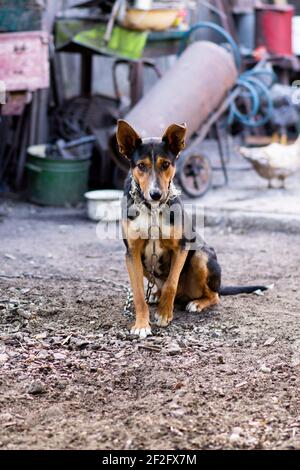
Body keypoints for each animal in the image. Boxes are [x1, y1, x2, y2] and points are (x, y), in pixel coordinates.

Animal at [116, 117, 270, 338]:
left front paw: (164, 314)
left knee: (213, 295)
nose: (156, 194)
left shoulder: (181, 246)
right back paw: (155, 294)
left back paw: (196, 303)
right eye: (141, 166)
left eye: (165, 164)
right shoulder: (132, 253)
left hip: (201, 256)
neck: (152, 209)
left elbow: (171, 283)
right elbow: (137, 293)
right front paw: (141, 324)